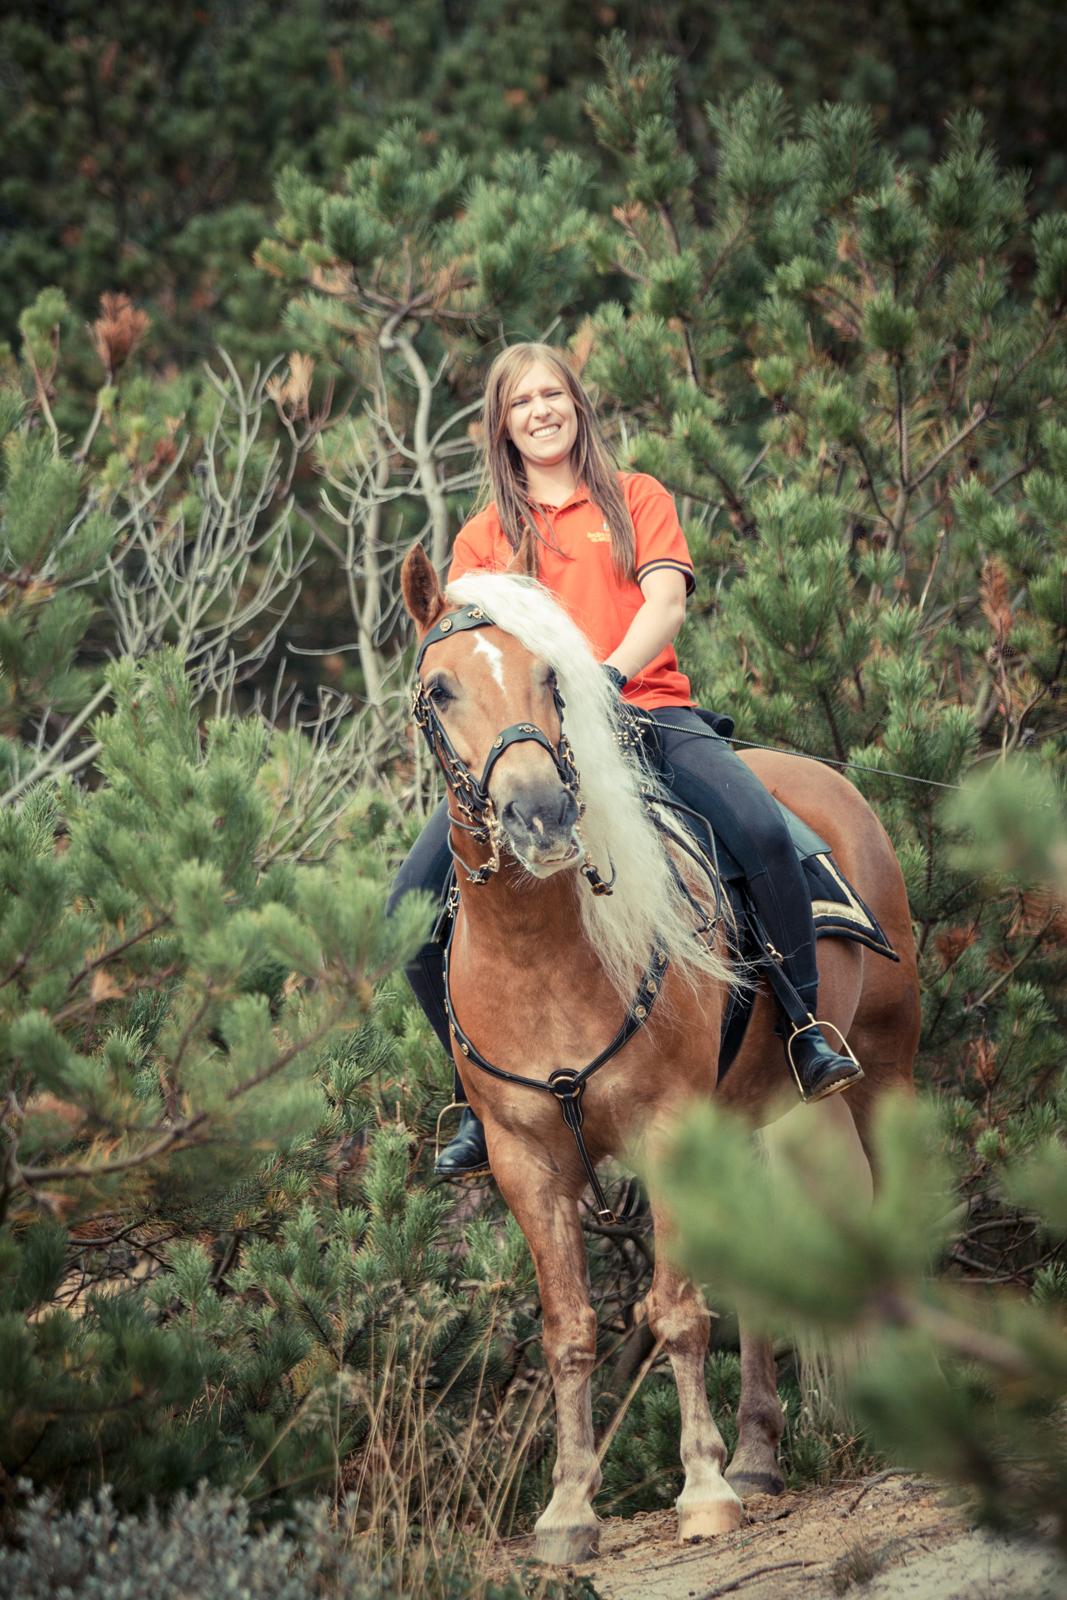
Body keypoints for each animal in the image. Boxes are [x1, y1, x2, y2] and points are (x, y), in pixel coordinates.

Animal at [398, 547, 921, 1561]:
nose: (539, 814)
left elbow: (675, 1310)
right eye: (438, 689)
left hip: (884, 1067)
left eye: (552, 677)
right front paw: (568, 1514)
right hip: (751, 1114)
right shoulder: (525, 1162)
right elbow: (568, 1330)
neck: (542, 951)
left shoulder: (667, 1130)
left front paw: (703, 1493)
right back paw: (758, 1457)